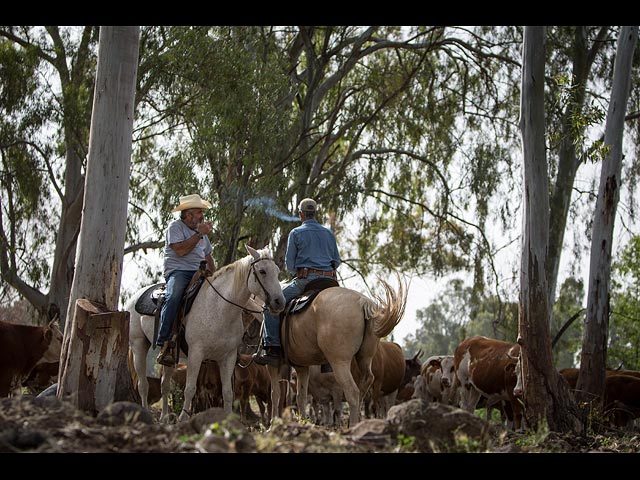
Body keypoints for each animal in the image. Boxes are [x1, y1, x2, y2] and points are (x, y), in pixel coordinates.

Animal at [126, 246, 284, 422]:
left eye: (277, 271)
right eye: (262, 271)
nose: (280, 302)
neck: (219, 308)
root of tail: (135, 296)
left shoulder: (228, 357)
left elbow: (228, 393)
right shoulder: (196, 354)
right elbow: (190, 389)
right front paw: (183, 418)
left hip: (169, 356)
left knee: (164, 385)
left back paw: (164, 418)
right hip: (139, 345)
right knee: (143, 385)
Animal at [268, 278, 408, 428]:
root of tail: (362, 302)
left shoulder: (274, 364)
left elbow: (275, 394)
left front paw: (272, 424)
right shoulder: (302, 366)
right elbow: (301, 397)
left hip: (340, 362)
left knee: (353, 392)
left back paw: (353, 425)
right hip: (365, 357)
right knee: (365, 383)